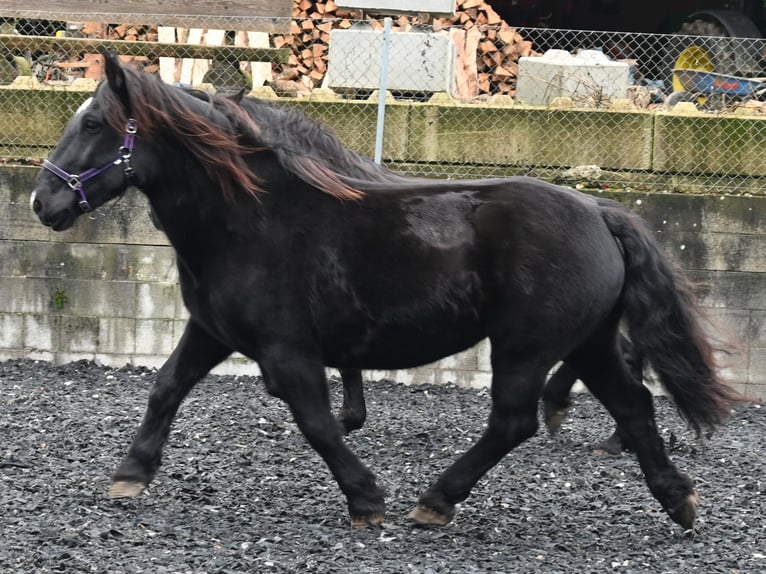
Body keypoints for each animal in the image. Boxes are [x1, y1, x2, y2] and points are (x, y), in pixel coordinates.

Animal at [28, 54, 736, 532]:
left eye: (94, 123)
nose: (43, 201)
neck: (248, 217)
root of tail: (599, 211)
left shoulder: (287, 350)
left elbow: (317, 422)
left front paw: (367, 498)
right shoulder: (211, 331)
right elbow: (165, 388)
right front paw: (130, 474)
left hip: (527, 347)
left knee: (514, 421)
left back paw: (437, 500)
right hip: (587, 343)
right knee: (634, 407)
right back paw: (678, 499)